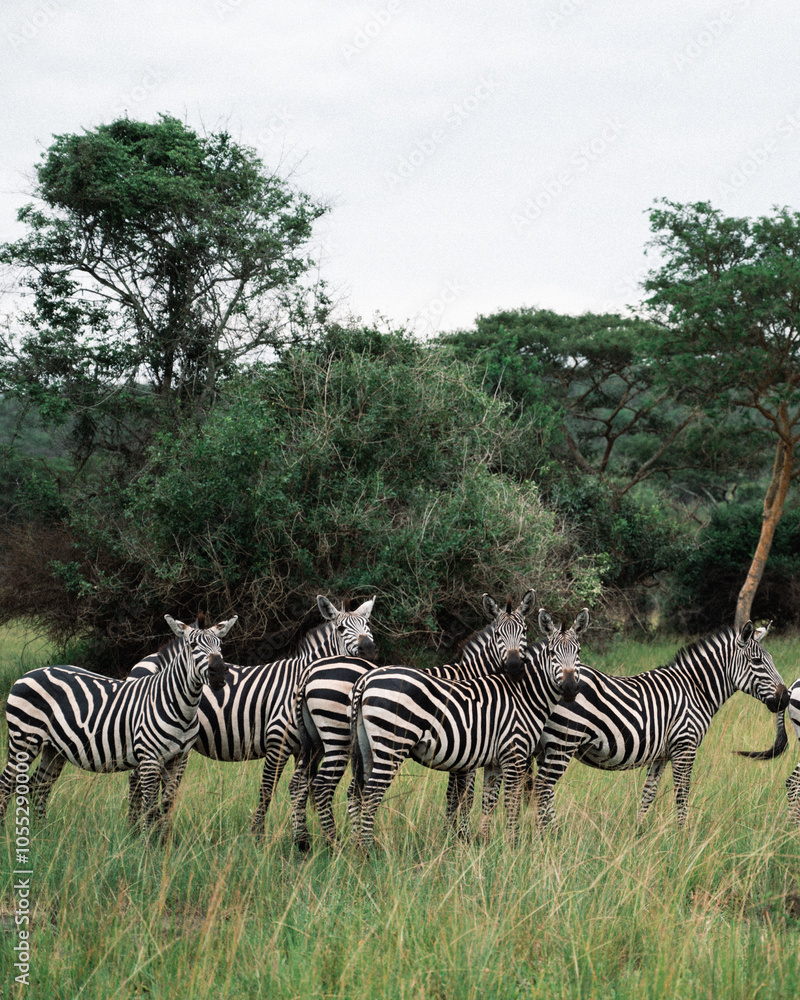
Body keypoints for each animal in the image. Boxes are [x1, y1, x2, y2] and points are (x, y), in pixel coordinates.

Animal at [0, 614, 237, 832]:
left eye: (220, 646)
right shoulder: (149, 758)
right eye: (193, 645)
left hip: (53, 748)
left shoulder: (177, 759)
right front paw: (146, 844)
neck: (178, 705)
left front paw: (164, 843)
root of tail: (27, 674)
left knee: (39, 786)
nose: (219, 672)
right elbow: (149, 805)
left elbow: (167, 803)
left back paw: (41, 833)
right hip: (24, 739)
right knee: (7, 784)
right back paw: (8, 835)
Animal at [127, 596, 378, 835]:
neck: (302, 678)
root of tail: (145, 660)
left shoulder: (304, 749)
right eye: (341, 629)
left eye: (368, 625)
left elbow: (302, 790)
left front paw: (304, 832)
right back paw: (134, 829)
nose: (368, 649)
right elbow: (267, 789)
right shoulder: (278, 740)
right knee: (135, 779)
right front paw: (258, 834)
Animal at [288, 590, 546, 850]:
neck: (474, 675)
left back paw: (305, 841)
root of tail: (309, 672)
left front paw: (453, 835)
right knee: (323, 787)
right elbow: (464, 795)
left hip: (316, 743)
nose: (514, 666)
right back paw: (334, 843)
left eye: (524, 631)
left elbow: (454, 794)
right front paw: (462, 837)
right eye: (498, 634)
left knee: (299, 784)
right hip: (339, 739)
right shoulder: (470, 744)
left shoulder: (464, 747)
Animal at [347, 599, 589, 850]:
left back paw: (356, 846)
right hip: (392, 744)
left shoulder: (493, 761)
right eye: (552, 653)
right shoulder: (513, 754)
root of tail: (366, 679)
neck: (525, 695)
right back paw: (367, 849)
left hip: (366, 747)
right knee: (372, 793)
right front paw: (514, 845)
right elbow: (507, 802)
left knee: (357, 791)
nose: (571, 688)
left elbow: (488, 801)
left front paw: (485, 843)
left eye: (578, 652)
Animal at [533, 621, 789, 830]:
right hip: (563, 741)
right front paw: (682, 835)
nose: (785, 698)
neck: (696, 689)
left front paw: (637, 832)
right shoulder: (685, 746)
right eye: (757, 661)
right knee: (543, 788)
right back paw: (551, 837)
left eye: (771, 660)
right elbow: (682, 793)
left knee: (543, 790)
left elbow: (649, 793)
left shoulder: (661, 754)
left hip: (544, 747)